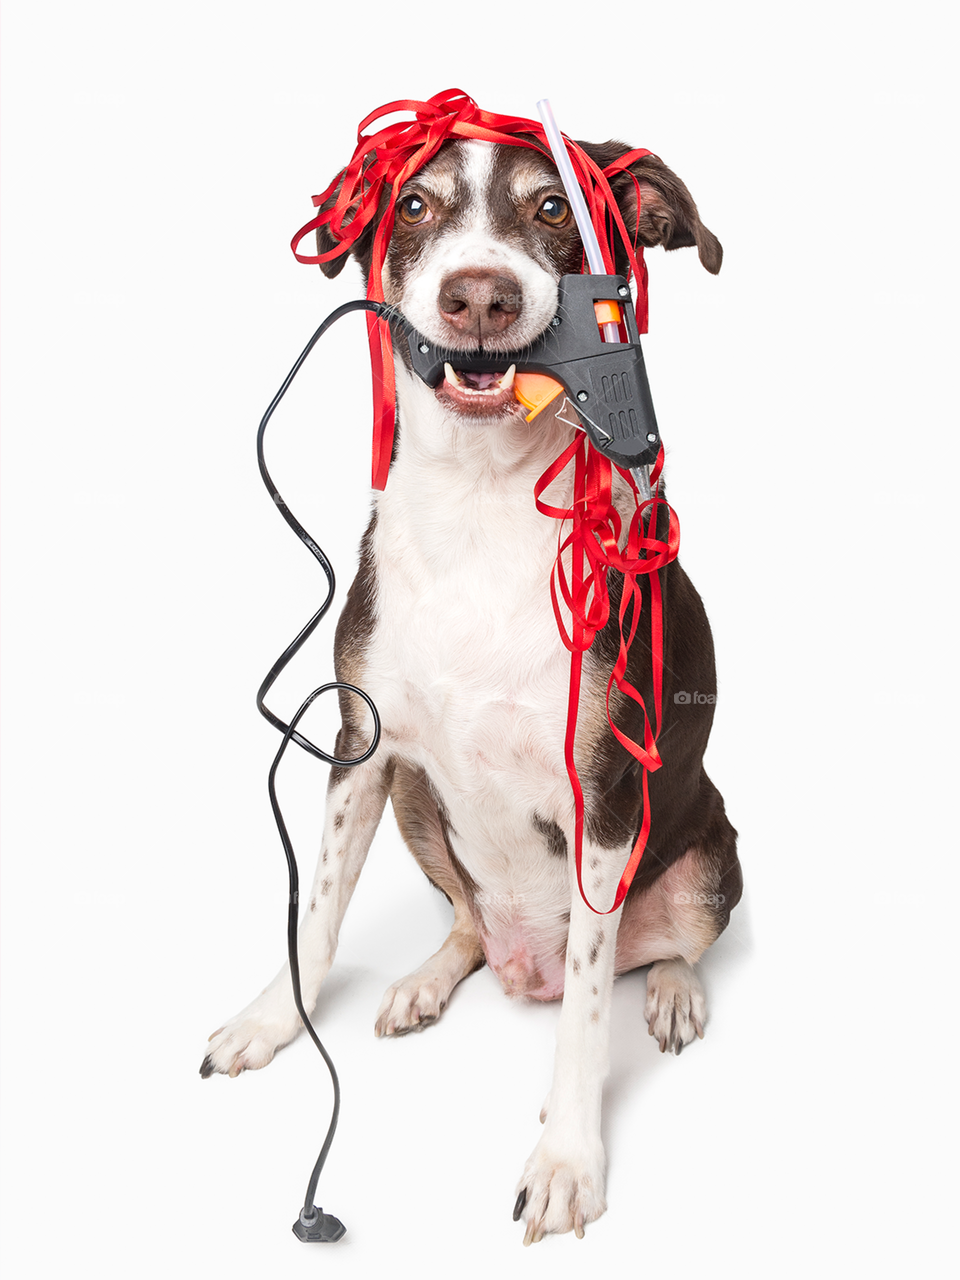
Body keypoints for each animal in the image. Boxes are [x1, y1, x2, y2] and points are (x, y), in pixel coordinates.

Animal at [203, 137, 742, 1239]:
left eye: (553, 206)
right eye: (413, 204)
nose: (481, 296)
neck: (481, 504)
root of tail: (515, 966)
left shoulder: (605, 796)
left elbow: (586, 1007)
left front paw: (568, 1157)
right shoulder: (360, 749)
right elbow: (315, 911)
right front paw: (272, 1019)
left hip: (715, 856)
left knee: (664, 946)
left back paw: (669, 988)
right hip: (418, 804)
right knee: (465, 922)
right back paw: (427, 978)